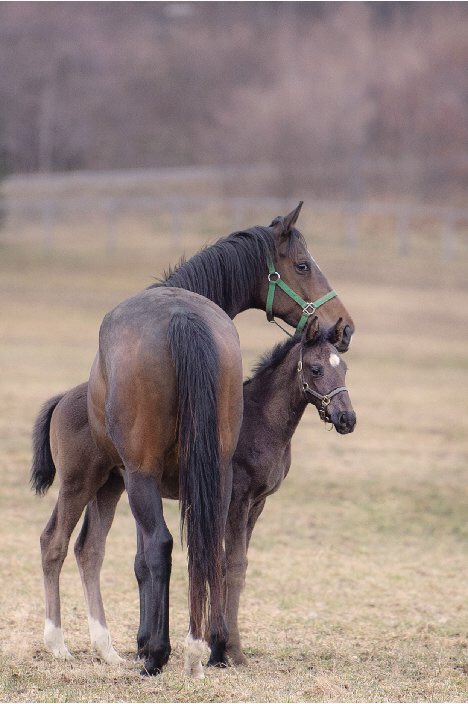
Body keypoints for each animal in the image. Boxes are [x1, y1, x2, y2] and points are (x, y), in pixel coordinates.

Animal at [31, 203, 355, 677]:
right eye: (302, 265)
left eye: (342, 369)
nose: (344, 327)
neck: (263, 414)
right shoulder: (238, 497)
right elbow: (221, 560)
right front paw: (218, 648)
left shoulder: (236, 496)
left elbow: (203, 559)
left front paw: (200, 646)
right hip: (87, 481)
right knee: (58, 542)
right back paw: (72, 645)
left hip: (113, 483)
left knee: (96, 549)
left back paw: (120, 649)